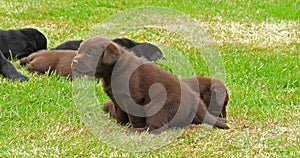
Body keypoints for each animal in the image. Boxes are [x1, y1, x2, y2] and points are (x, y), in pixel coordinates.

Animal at [72, 36, 230, 133]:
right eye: (79, 51)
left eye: (90, 54)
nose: (74, 61)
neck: (112, 71)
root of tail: (198, 105)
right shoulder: (117, 99)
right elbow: (120, 113)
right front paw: (119, 122)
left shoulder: (133, 98)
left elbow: (134, 117)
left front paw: (131, 126)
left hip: (158, 104)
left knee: (156, 127)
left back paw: (135, 131)